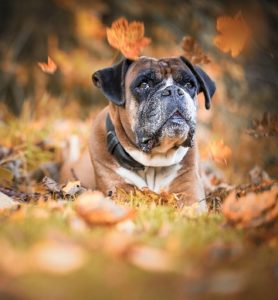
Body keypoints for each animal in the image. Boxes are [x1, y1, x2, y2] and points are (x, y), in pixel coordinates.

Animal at [59, 56, 216, 211]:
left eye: (189, 84)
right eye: (144, 84)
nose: (173, 90)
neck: (153, 162)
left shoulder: (190, 190)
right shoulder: (119, 190)